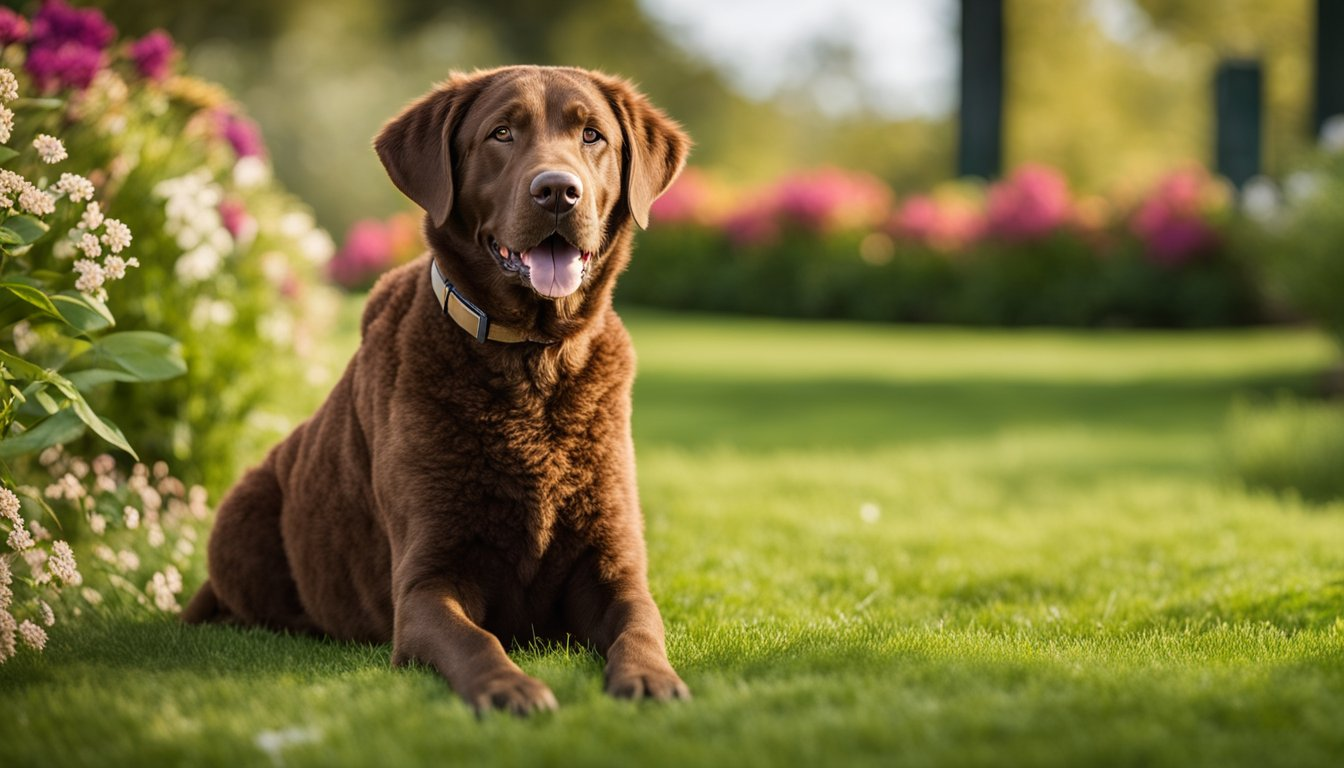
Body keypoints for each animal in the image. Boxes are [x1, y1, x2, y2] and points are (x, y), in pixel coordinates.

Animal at [184, 66, 688, 715]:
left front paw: (650, 677)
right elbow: (475, 640)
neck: (532, 363)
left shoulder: (614, 565)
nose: (558, 191)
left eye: (592, 135)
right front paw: (509, 687)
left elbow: (641, 624)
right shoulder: (426, 581)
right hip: (242, 516)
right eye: (502, 133)